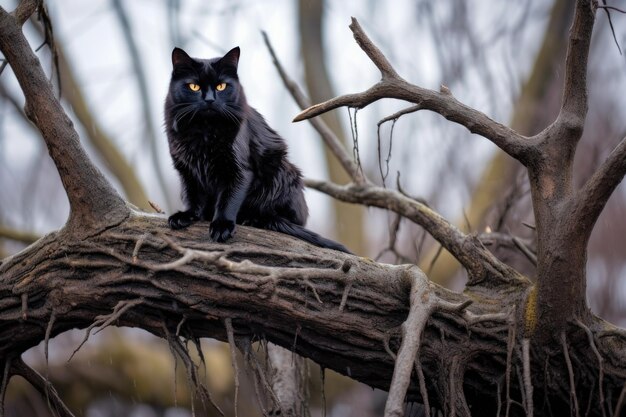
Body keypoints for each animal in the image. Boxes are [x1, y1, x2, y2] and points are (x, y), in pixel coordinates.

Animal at [163, 46, 348, 252]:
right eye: (194, 87)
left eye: (221, 86)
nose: (210, 100)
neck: (204, 130)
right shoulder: (186, 169)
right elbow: (192, 196)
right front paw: (187, 215)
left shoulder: (239, 170)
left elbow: (228, 199)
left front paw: (221, 226)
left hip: (279, 168)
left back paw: (252, 219)